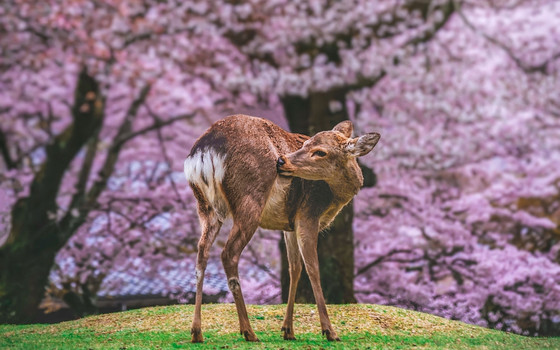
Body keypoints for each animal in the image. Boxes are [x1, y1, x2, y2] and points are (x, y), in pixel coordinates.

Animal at [184, 114, 380, 342]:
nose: (281, 160)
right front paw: (329, 331)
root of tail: (204, 151)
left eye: (320, 151)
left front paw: (288, 330)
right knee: (228, 253)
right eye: (306, 144)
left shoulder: (289, 225)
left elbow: (294, 268)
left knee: (201, 253)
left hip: (206, 206)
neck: (334, 197)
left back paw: (197, 332)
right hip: (250, 200)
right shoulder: (308, 213)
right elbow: (313, 268)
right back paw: (248, 331)